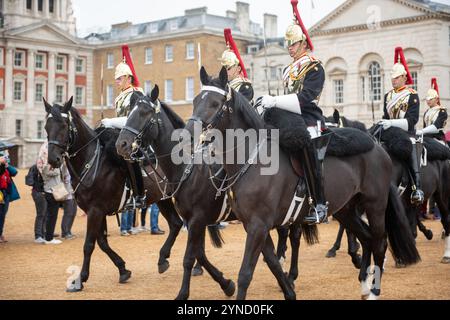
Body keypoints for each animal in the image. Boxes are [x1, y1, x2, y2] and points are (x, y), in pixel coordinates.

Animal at [42, 97, 183, 290]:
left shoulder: (95, 211)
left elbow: (89, 244)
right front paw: (123, 269)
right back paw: (163, 259)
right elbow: (102, 242)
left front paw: (81, 279)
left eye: (64, 125)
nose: (52, 159)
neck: (92, 162)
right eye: (46, 126)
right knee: (177, 224)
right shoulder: (95, 211)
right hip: (163, 199)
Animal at [114, 88, 316, 300]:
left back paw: (290, 274)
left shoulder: (197, 219)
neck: (188, 168)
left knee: (294, 237)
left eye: (144, 113)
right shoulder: (195, 221)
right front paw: (226, 284)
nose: (121, 144)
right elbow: (200, 254)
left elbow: (190, 257)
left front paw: (184, 291)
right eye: (129, 113)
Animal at [181, 67, 420, 300]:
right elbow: (273, 263)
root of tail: (379, 148)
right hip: (345, 209)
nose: (189, 134)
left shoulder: (258, 225)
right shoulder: (254, 225)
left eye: (215, 103)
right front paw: (289, 290)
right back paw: (363, 282)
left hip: (375, 205)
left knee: (380, 243)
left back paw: (374, 290)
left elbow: (245, 273)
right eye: (196, 100)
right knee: (367, 238)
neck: (252, 160)